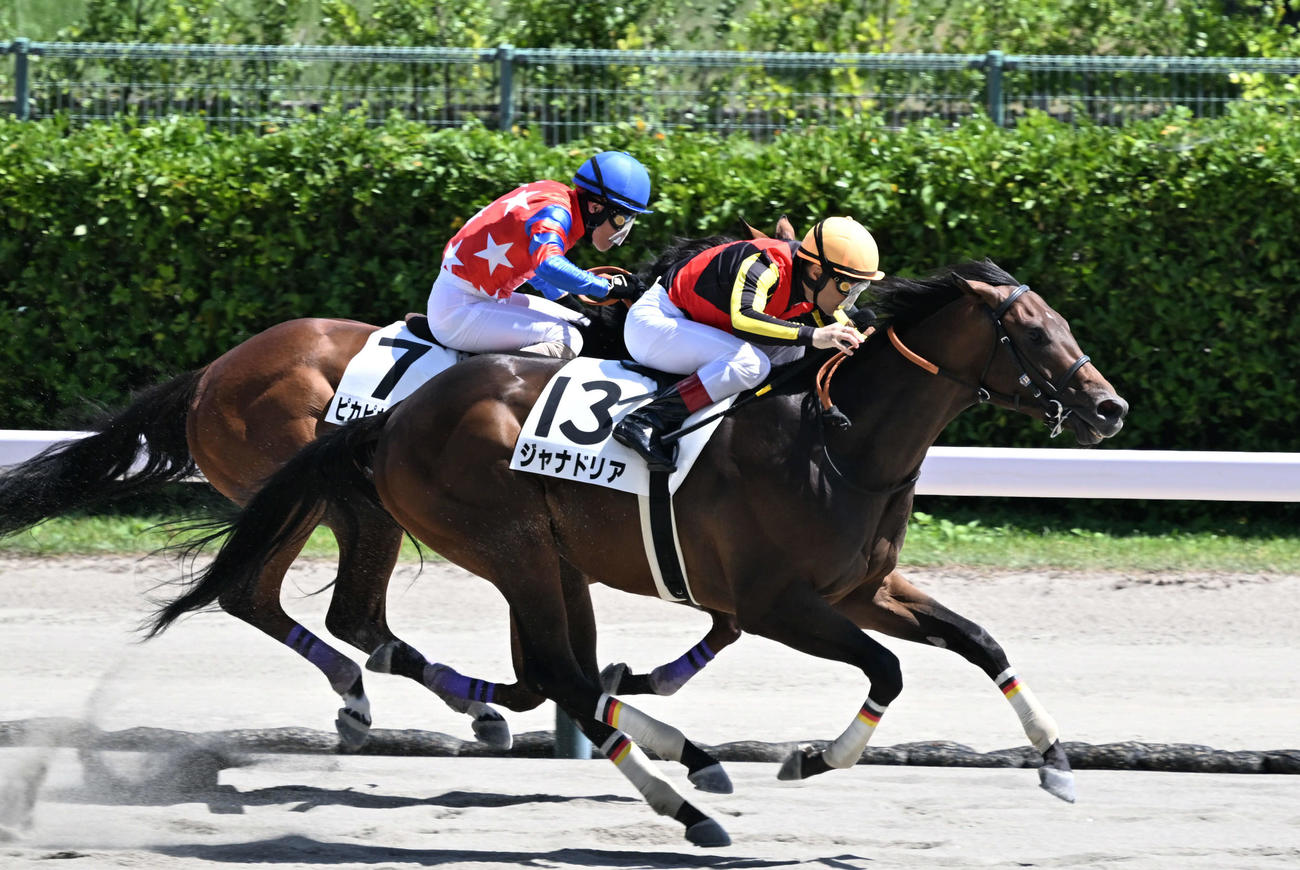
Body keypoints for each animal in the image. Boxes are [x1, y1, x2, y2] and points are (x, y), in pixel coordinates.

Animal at [146, 259, 1128, 846]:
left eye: (1062, 322)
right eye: (1032, 332)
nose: (1110, 407)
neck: (837, 441)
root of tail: (395, 417)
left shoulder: (861, 588)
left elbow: (981, 642)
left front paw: (1056, 763)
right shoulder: (782, 605)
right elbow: (885, 670)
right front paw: (812, 757)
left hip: (534, 553)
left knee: (548, 667)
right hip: (492, 540)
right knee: (535, 666)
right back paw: (680, 802)